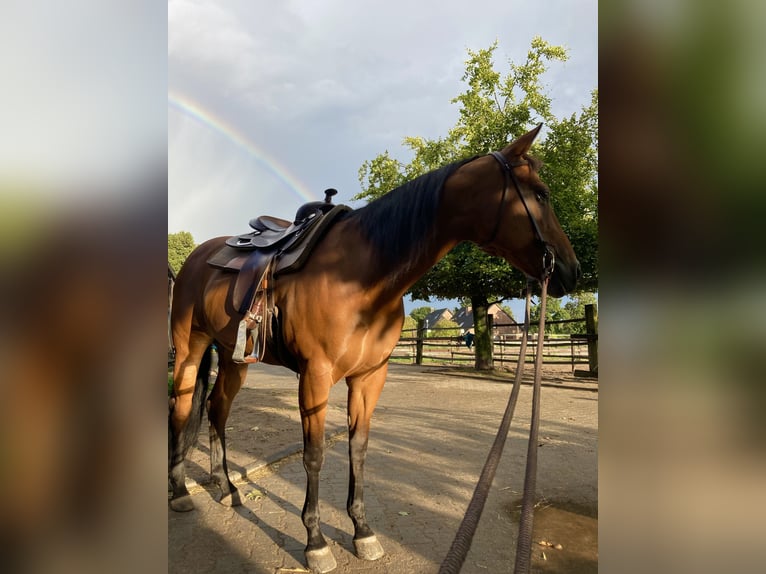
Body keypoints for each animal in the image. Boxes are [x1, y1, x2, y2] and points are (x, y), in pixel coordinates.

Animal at [171, 124, 580, 572]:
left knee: (216, 410)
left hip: (235, 358)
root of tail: (198, 256)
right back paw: (181, 492)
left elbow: (358, 449)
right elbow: (314, 455)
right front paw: (316, 542)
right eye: (540, 194)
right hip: (189, 350)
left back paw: (225, 488)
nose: (571, 270)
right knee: (182, 409)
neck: (360, 275)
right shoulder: (315, 377)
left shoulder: (369, 377)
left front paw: (362, 531)